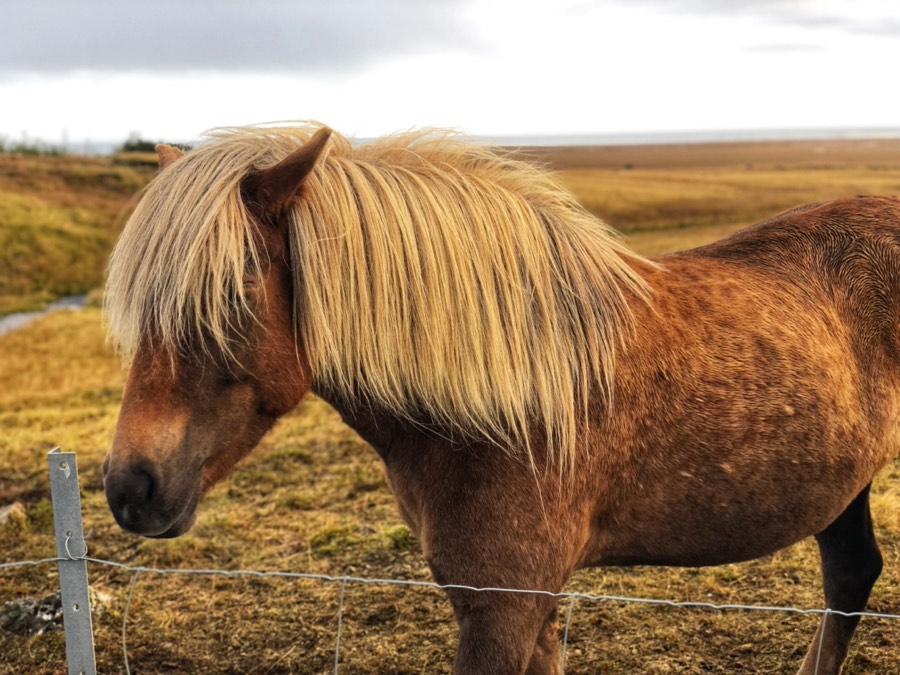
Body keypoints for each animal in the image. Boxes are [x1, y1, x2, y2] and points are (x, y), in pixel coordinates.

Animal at [102, 123, 900, 674]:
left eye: (229, 293)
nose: (129, 487)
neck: (502, 406)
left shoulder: (504, 608)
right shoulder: (527, 609)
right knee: (850, 574)